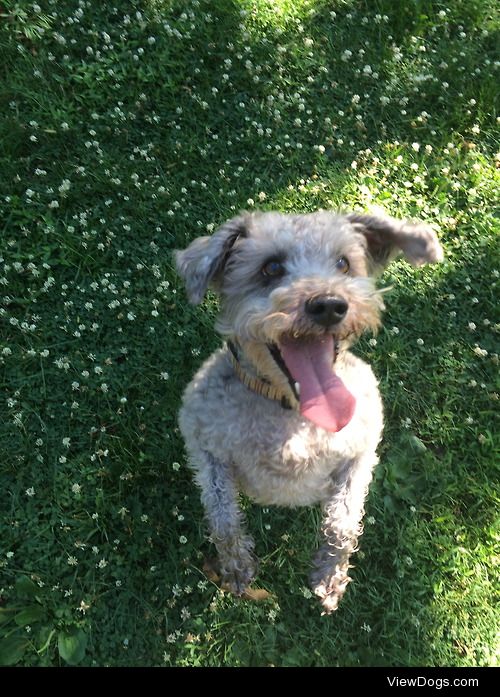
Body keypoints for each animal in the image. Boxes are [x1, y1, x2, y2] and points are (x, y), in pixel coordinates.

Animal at [175, 209, 442, 612]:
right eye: (271, 267)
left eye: (343, 263)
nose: (329, 304)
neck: (295, 416)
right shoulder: (204, 445)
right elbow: (223, 517)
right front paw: (236, 568)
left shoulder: (361, 450)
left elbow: (342, 522)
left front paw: (329, 576)